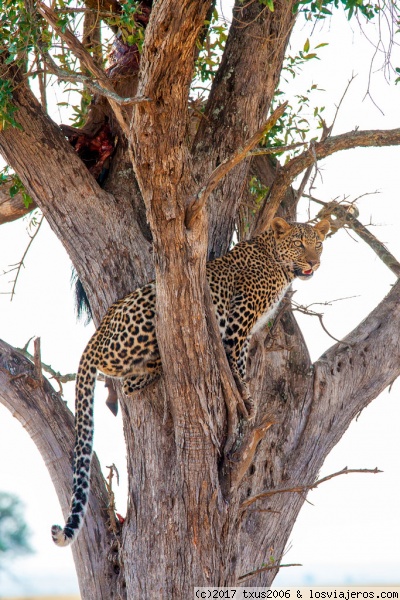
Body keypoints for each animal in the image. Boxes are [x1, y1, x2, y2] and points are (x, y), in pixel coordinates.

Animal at [51, 218, 330, 548]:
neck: (277, 263)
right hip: (148, 306)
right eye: (299, 243)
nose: (314, 262)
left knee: (128, 381)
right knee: (121, 372)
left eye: (318, 244)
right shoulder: (240, 321)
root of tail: (98, 332)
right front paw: (246, 398)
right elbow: (237, 363)